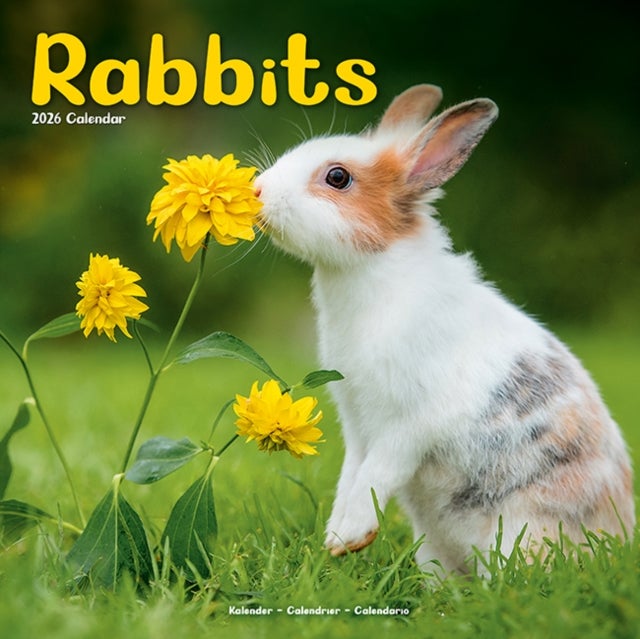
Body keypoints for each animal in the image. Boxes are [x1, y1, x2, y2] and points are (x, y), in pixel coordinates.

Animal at [253, 84, 635, 573]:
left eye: (337, 177)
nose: (257, 190)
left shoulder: (406, 424)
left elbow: (377, 472)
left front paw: (347, 537)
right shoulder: (356, 423)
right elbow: (352, 473)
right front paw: (337, 538)